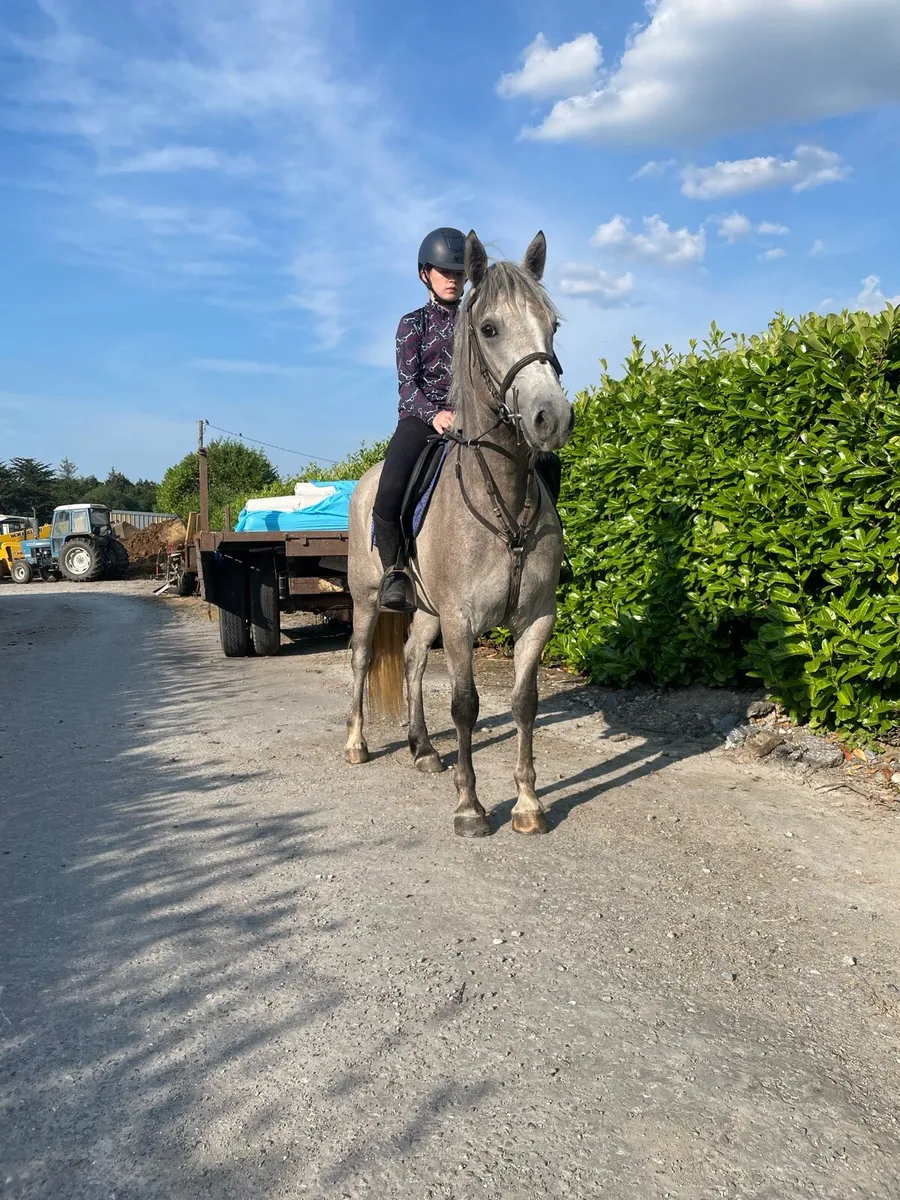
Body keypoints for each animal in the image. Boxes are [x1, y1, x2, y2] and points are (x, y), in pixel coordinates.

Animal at [344, 230, 574, 837]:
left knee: (411, 660)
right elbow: (466, 705)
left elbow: (524, 703)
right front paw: (470, 806)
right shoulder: (461, 619)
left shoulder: (535, 617)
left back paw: (423, 748)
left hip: (425, 610)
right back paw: (356, 744)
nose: (551, 418)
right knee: (360, 659)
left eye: (553, 324)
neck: (502, 498)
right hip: (368, 599)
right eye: (489, 328)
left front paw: (527, 804)